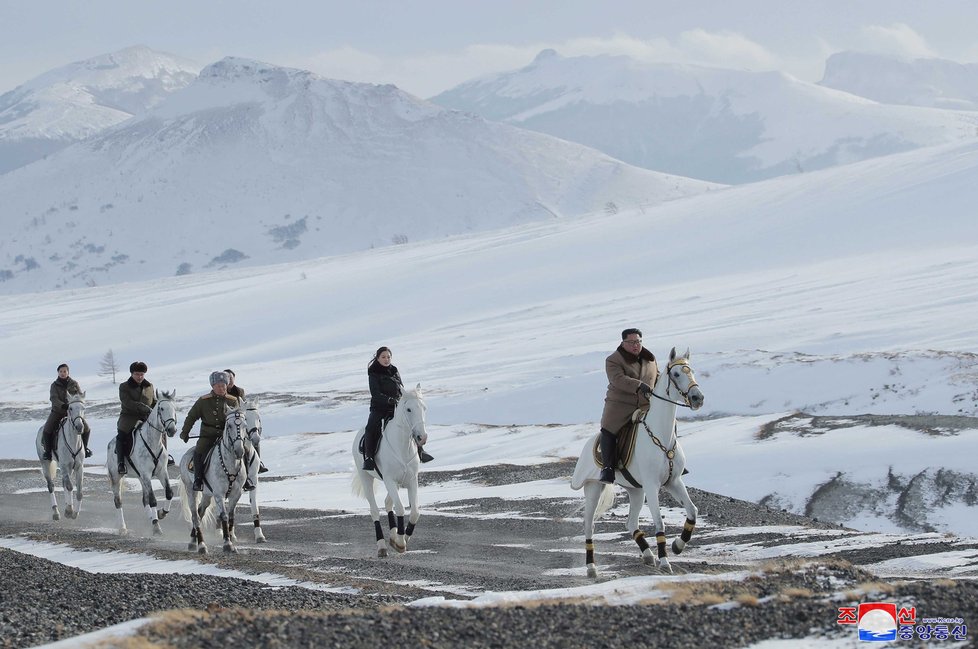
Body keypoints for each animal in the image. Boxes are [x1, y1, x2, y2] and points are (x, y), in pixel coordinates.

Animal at [34, 390, 88, 520]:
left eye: (83, 408)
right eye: (70, 408)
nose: (79, 427)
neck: (73, 441)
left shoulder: (79, 467)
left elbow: (79, 492)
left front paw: (75, 512)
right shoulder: (64, 465)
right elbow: (70, 487)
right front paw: (69, 510)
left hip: (68, 468)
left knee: (64, 483)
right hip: (46, 464)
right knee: (51, 486)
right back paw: (56, 512)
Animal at [107, 390, 180, 536]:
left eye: (174, 408)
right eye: (161, 408)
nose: (172, 430)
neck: (153, 442)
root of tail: (110, 444)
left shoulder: (162, 471)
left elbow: (169, 493)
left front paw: (161, 514)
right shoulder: (146, 474)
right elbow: (153, 500)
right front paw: (157, 527)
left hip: (140, 477)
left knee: (144, 500)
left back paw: (152, 518)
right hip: (117, 477)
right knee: (118, 501)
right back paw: (123, 528)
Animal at [180, 404, 248, 552]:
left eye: (245, 425)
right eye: (229, 426)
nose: (239, 451)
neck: (231, 464)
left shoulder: (236, 494)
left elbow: (231, 516)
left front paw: (231, 540)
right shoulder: (219, 494)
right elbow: (224, 515)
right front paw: (227, 544)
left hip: (206, 494)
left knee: (200, 512)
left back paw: (193, 541)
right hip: (191, 490)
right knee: (195, 516)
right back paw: (201, 545)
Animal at [350, 384, 428, 556]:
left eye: (424, 408)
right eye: (409, 409)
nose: (422, 437)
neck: (402, 446)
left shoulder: (411, 480)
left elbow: (415, 512)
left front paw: (403, 538)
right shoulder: (389, 480)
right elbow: (400, 508)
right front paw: (400, 542)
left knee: (387, 503)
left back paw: (392, 536)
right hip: (366, 477)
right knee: (374, 510)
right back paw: (382, 546)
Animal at [572, 346, 700, 576]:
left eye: (691, 370)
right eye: (677, 374)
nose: (697, 398)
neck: (662, 436)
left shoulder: (674, 482)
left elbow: (692, 512)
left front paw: (678, 546)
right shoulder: (652, 485)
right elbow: (659, 523)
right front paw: (665, 562)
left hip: (636, 491)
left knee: (631, 523)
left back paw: (648, 555)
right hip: (593, 488)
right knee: (589, 525)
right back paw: (591, 568)